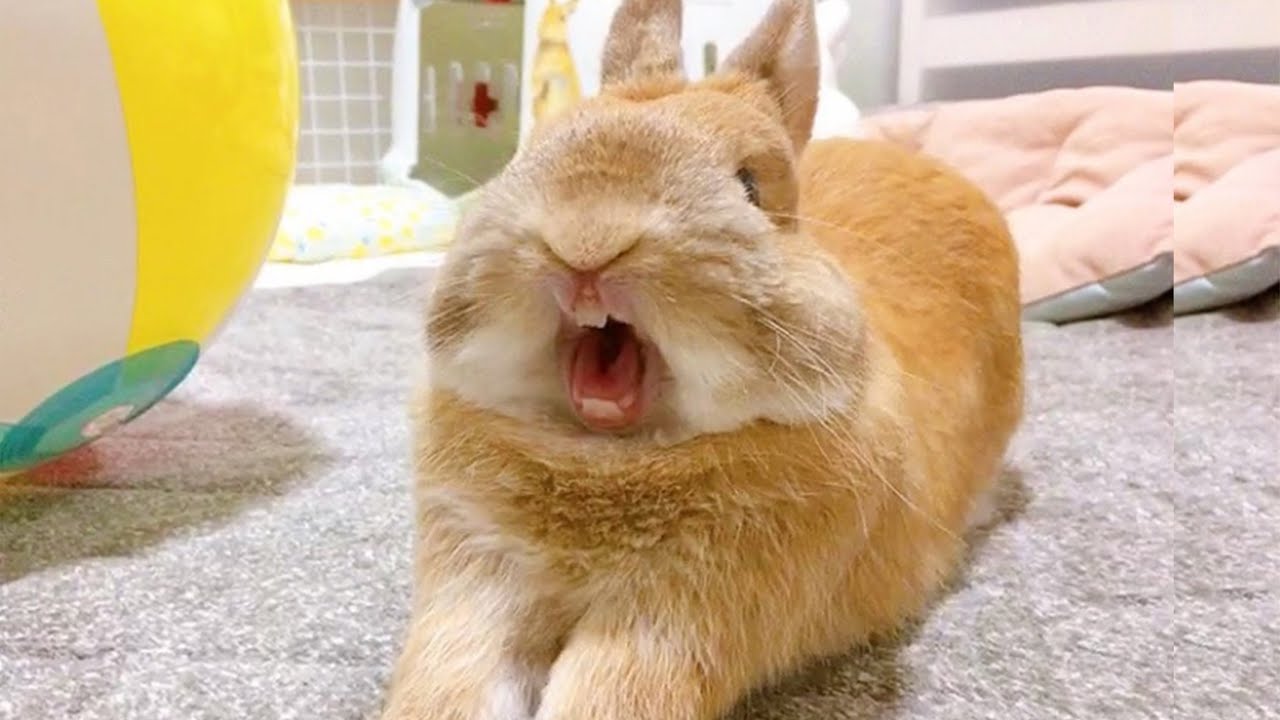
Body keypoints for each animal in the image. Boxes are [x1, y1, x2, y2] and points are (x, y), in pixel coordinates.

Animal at [381, 0, 1024, 718]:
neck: (604, 458)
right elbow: (448, 678)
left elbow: (609, 690)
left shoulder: (685, 611)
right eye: (530, 154)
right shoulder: (476, 571)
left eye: (750, 186)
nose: (586, 240)